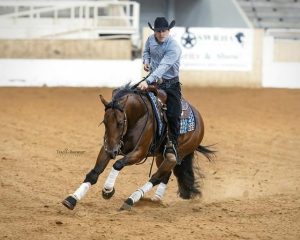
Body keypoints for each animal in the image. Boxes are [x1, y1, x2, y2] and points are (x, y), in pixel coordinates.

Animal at [62, 83, 214, 211]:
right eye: (104, 122)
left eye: (120, 123)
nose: (112, 152)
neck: (138, 116)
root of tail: (199, 118)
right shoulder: (107, 147)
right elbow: (94, 173)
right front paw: (72, 199)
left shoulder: (139, 153)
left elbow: (118, 164)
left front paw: (108, 190)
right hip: (161, 155)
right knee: (165, 174)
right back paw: (156, 199)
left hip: (178, 153)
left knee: (156, 177)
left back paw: (131, 199)